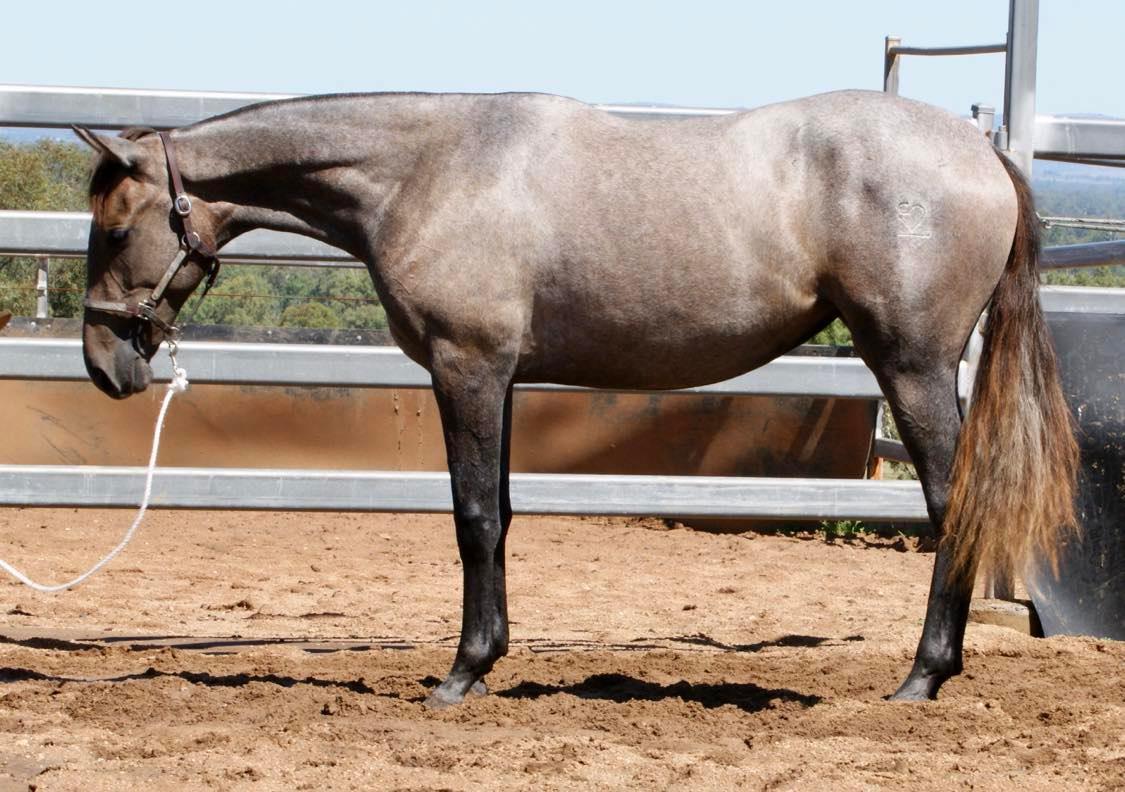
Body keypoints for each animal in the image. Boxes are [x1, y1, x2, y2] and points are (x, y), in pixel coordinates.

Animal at [75, 89, 1078, 708]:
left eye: (116, 228)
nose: (103, 364)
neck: (429, 170)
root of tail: (978, 150)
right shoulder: (500, 379)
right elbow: (502, 514)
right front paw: (488, 661)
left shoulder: (466, 369)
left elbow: (474, 516)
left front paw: (459, 675)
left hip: (910, 365)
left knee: (953, 505)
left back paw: (921, 678)